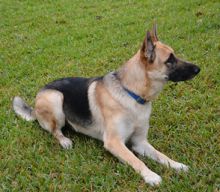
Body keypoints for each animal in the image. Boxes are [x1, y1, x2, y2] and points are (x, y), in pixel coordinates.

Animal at [12, 24, 200, 186]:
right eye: (170, 60)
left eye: (174, 56)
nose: (198, 69)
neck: (131, 93)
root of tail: (35, 106)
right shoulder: (114, 142)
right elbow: (136, 160)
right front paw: (151, 175)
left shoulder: (140, 142)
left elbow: (161, 155)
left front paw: (177, 165)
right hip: (55, 98)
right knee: (55, 130)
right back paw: (64, 140)